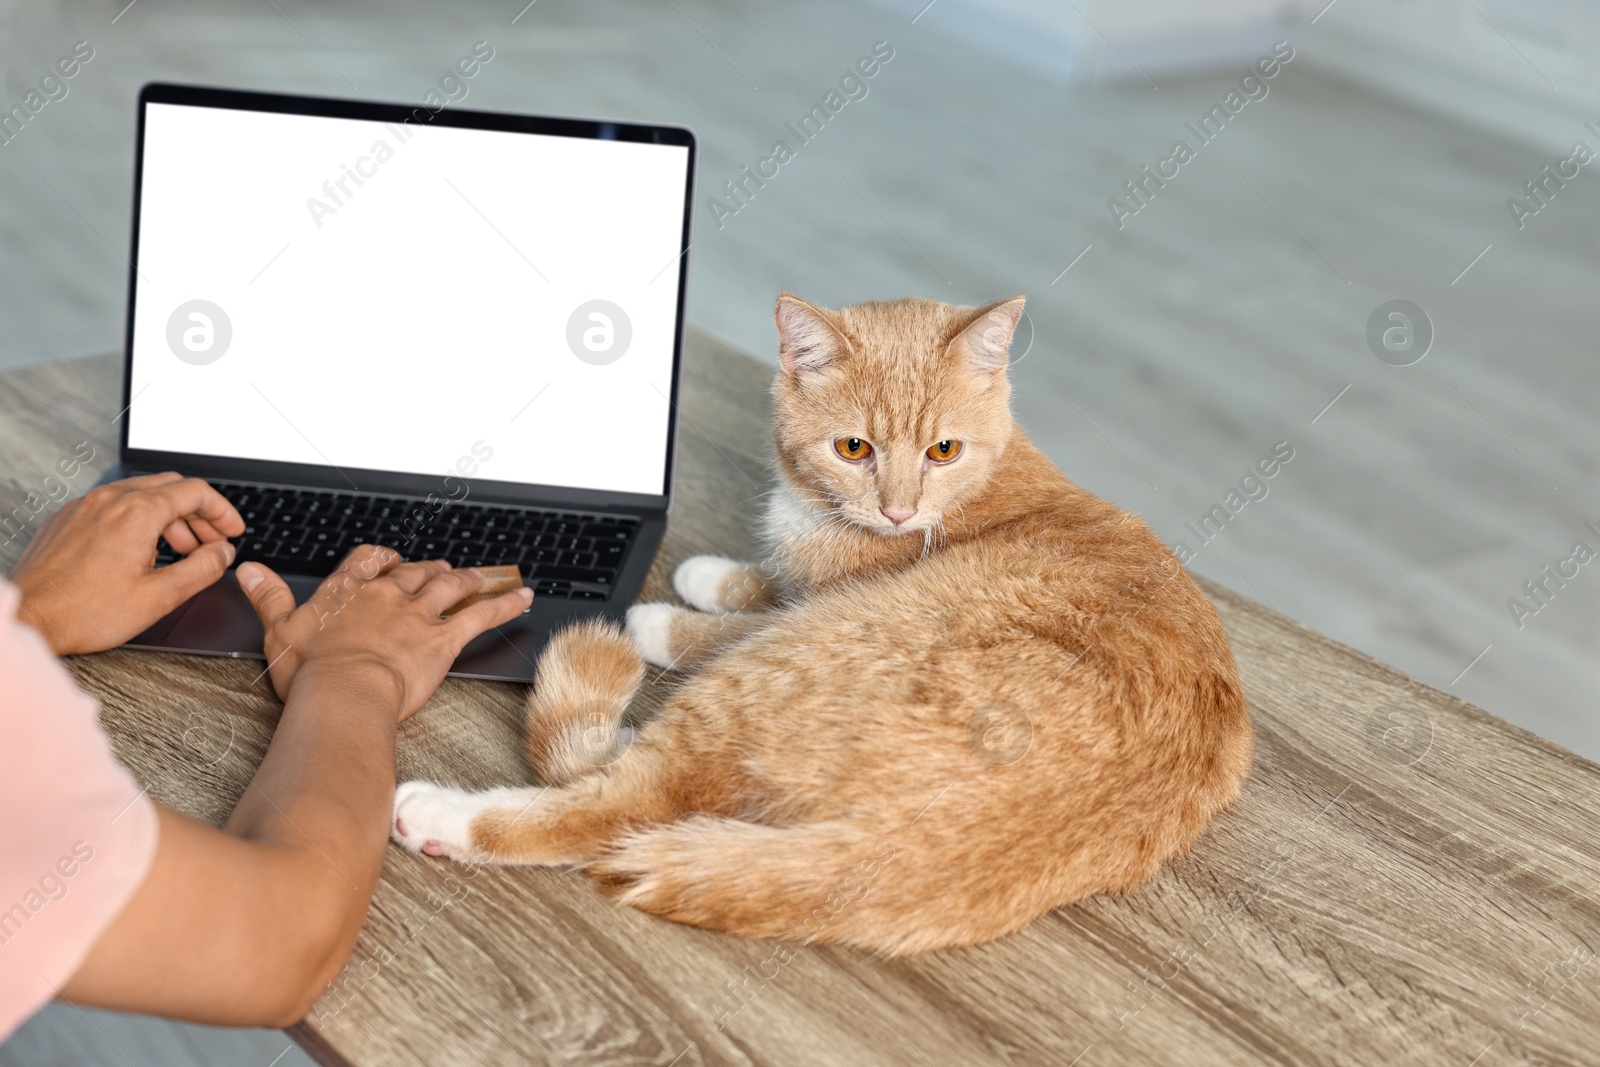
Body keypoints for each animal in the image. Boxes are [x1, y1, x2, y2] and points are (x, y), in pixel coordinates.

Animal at [393, 294, 1254, 959]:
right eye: (853, 446)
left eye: (943, 449)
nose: (897, 509)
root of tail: (898, 855)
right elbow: (765, 577)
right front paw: (714, 574)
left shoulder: (806, 608)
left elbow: (733, 618)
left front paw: (662, 610)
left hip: (777, 667)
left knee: (615, 803)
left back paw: (439, 815)